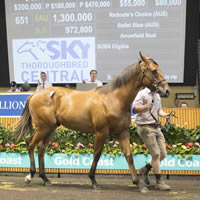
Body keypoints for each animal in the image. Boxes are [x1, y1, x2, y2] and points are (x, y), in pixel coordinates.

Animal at [14, 52, 170, 192]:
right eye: (154, 71)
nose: (166, 91)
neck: (114, 99)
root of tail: (34, 95)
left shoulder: (123, 132)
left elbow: (129, 156)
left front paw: (138, 183)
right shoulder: (101, 132)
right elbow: (97, 154)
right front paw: (93, 180)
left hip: (50, 128)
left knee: (41, 148)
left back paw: (45, 178)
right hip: (43, 127)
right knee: (30, 144)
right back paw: (30, 176)